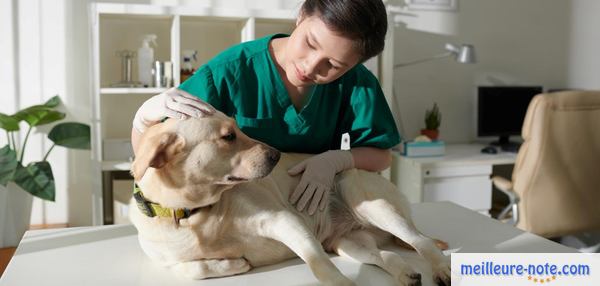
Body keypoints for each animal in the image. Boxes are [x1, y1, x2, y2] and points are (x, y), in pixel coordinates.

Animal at [130, 112, 450, 286]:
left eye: (238, 128)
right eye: (228, 136)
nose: (276, 155)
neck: (197, 214)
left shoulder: (285, 221)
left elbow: (318, 264)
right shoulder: (171, 262)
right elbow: (192, 268)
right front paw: (235, 264)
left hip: (368, 201)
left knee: (420, 242)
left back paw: (441, 270)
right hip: (349, 244)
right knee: (387, 255)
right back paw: (407, 274)